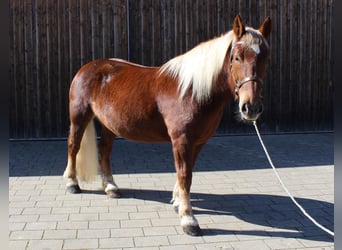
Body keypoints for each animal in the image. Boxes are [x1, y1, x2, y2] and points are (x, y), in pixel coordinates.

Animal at [64, 16, 272, 236]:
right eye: (237, 58)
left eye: (266, 58)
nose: (251, 107)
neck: (191, 91)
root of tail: (89, 67)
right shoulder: (182, 140)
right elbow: (185, 175)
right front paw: (189, 220)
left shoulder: (198, 142)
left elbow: (188, 171)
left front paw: (178, 202)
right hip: (79, 116)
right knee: (73, 146)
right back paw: (72, 183)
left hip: (110, 124)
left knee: (104, 150)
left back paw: (111, 187)